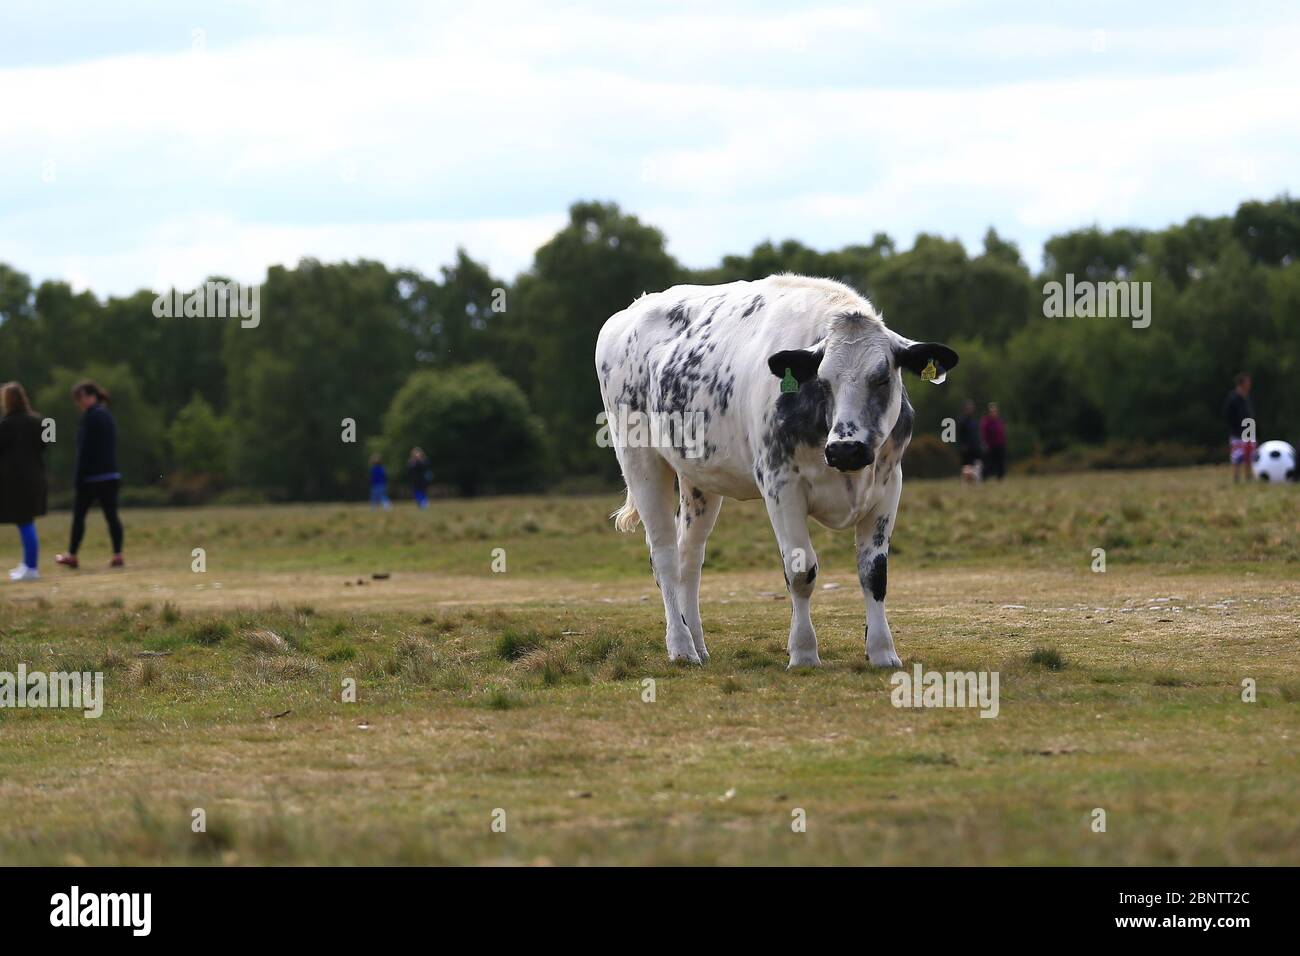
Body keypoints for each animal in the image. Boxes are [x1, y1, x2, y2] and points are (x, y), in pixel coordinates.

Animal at [595, 273, 956, 671]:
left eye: (882, 379)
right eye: (823, 382)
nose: (845, 448)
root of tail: (630, 311)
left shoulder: (888, 486)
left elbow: (874, 573)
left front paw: (882, 652)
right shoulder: (781, 485)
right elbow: (801, 571)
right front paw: (803, 652)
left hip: (698, 479)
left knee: (689, 556)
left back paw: (699, 644)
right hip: (640, 460)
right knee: (664, 556)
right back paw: (682, 647)